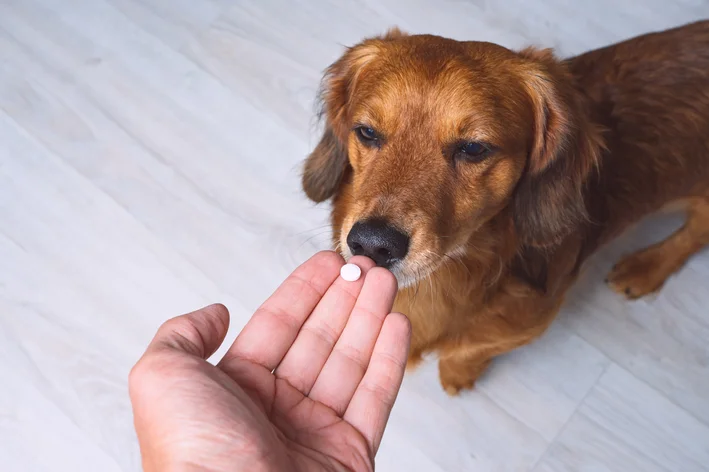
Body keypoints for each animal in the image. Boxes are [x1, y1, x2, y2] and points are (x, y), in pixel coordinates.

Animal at [300, 20, 708, 392]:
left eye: (473, 148)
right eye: (367, 132)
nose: (372, 243)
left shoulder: (531, 322)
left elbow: (469, 349)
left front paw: (458, 375)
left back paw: (646, 267)